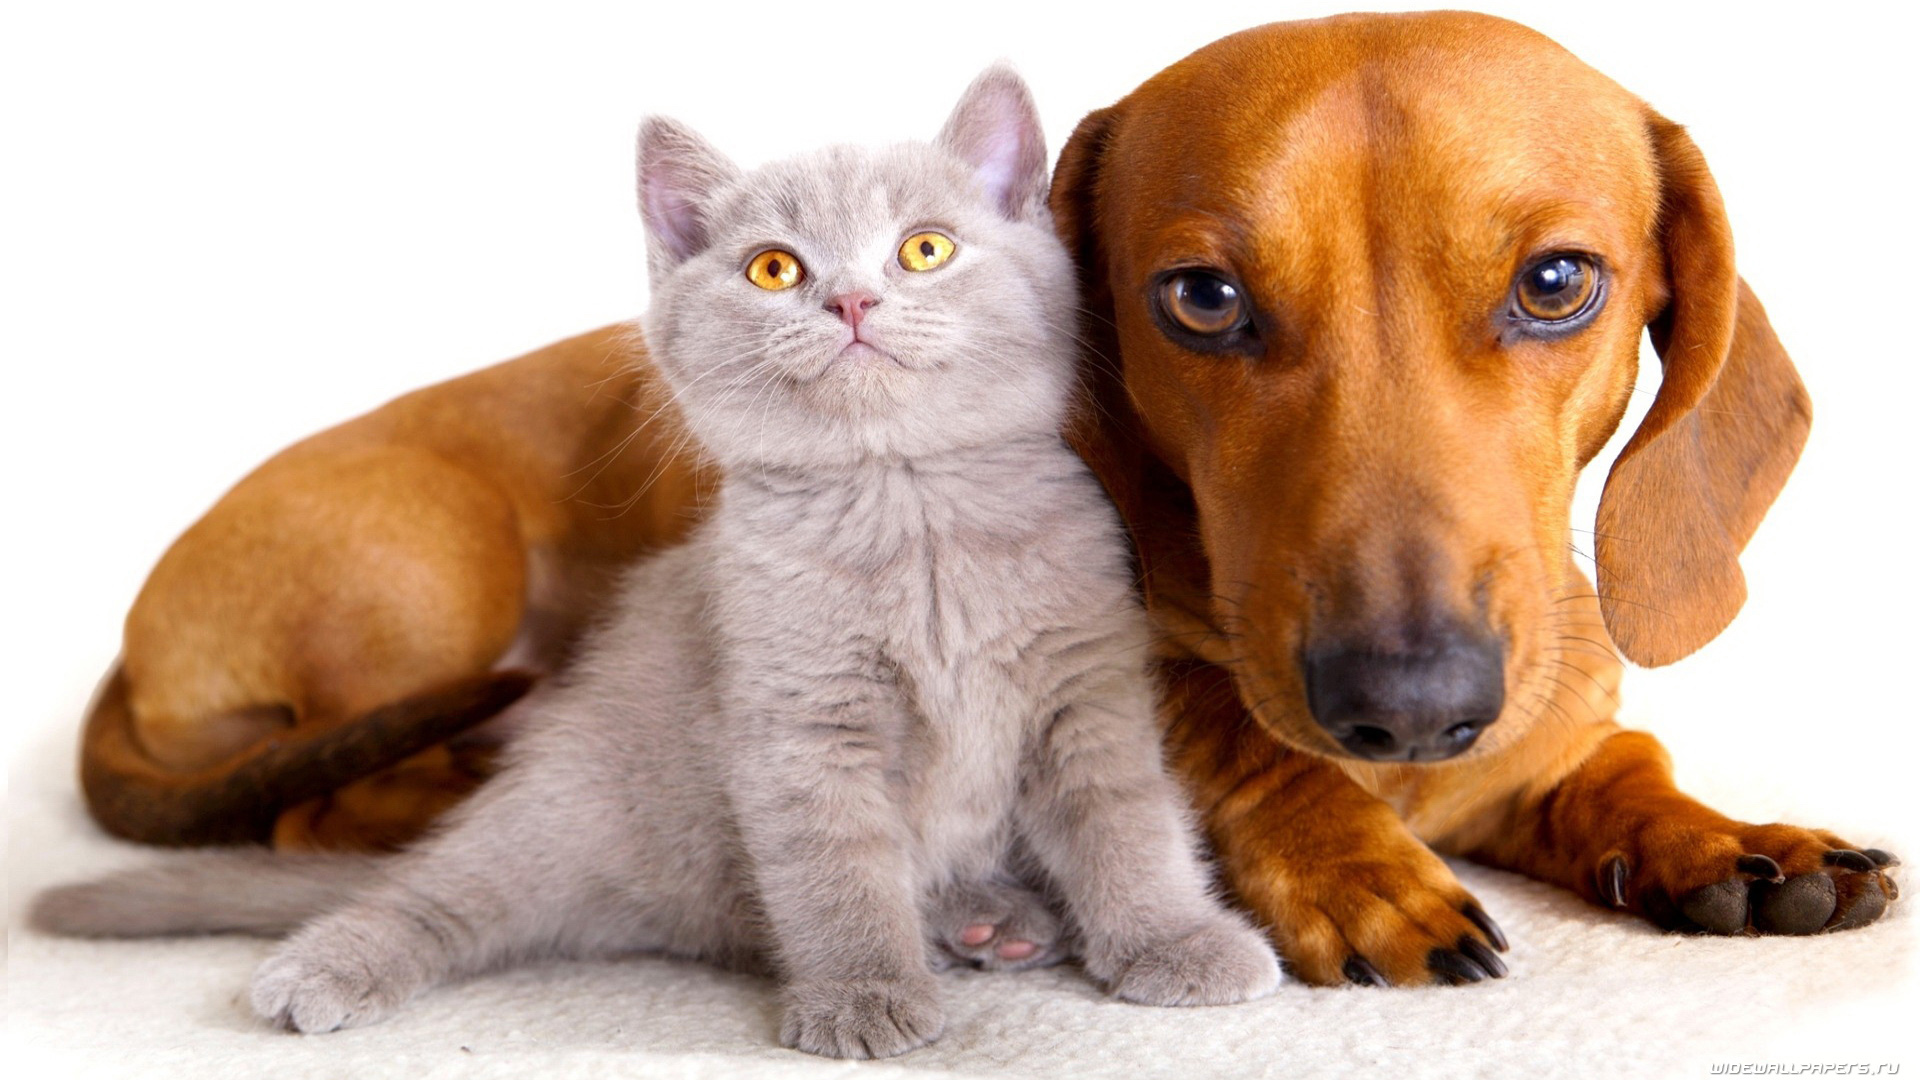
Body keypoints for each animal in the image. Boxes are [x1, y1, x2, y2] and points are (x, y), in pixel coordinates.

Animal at [33, 69, 1274, 1060]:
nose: (852, 297)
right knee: (438, 891)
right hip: (561, 803)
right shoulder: (800, 723)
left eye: (925, 247)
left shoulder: (1087, 691)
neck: (912, 514)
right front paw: (864, 996)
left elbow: (1128, 827)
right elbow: (836, 871)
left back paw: (984, 915)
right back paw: (322, 966)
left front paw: (1176, 942)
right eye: (773, 268)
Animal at [74, 10, 1889, 983]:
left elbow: (1610, 760)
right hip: (432, 566)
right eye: (1201, 299)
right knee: (322, 806)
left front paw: (1716, 836)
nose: (1407, 705)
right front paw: (1348, 857)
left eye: (1560, 282)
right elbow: (1218, 737)